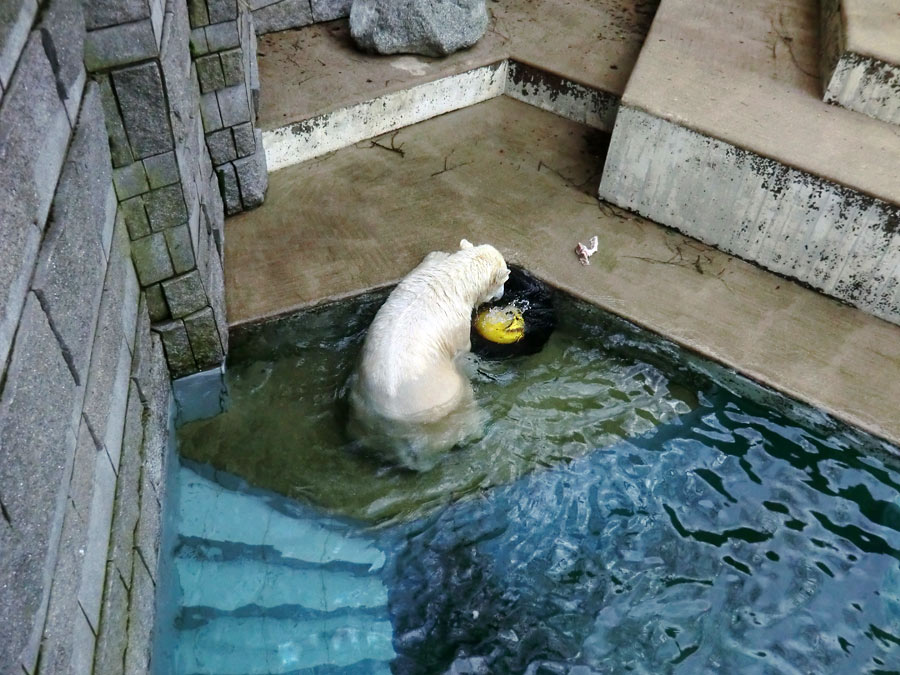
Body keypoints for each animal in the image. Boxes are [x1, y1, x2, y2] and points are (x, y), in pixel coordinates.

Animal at [350, 239, 510, 470]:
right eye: (504, 281)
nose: (502, 295)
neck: (453, 279)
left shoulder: (422, 272)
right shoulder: (456, 327)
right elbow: (463, 355)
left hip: (362, 414)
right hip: (446, 400)